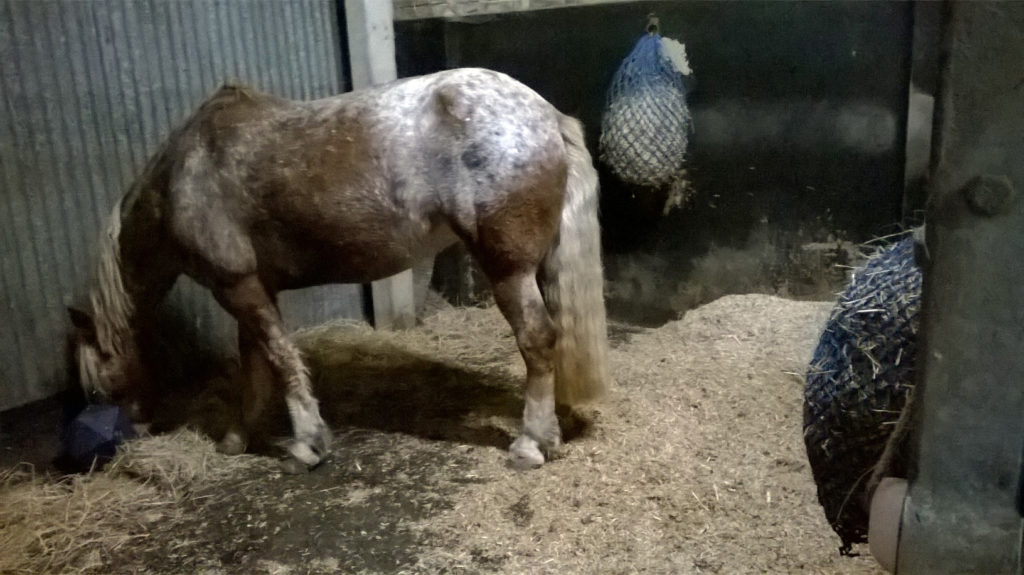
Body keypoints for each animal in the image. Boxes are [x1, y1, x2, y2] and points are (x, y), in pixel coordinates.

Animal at [72, 68, 610, 470]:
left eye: (95, 382)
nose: (131, 429)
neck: (183, 177)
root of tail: (545, 113)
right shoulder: (252, 289)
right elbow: (255, 366)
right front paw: (237, 437)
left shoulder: (236, 286)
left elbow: (280, 360)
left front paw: (307, 444)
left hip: (509, 271)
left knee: (537, 340)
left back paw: (531, 443)